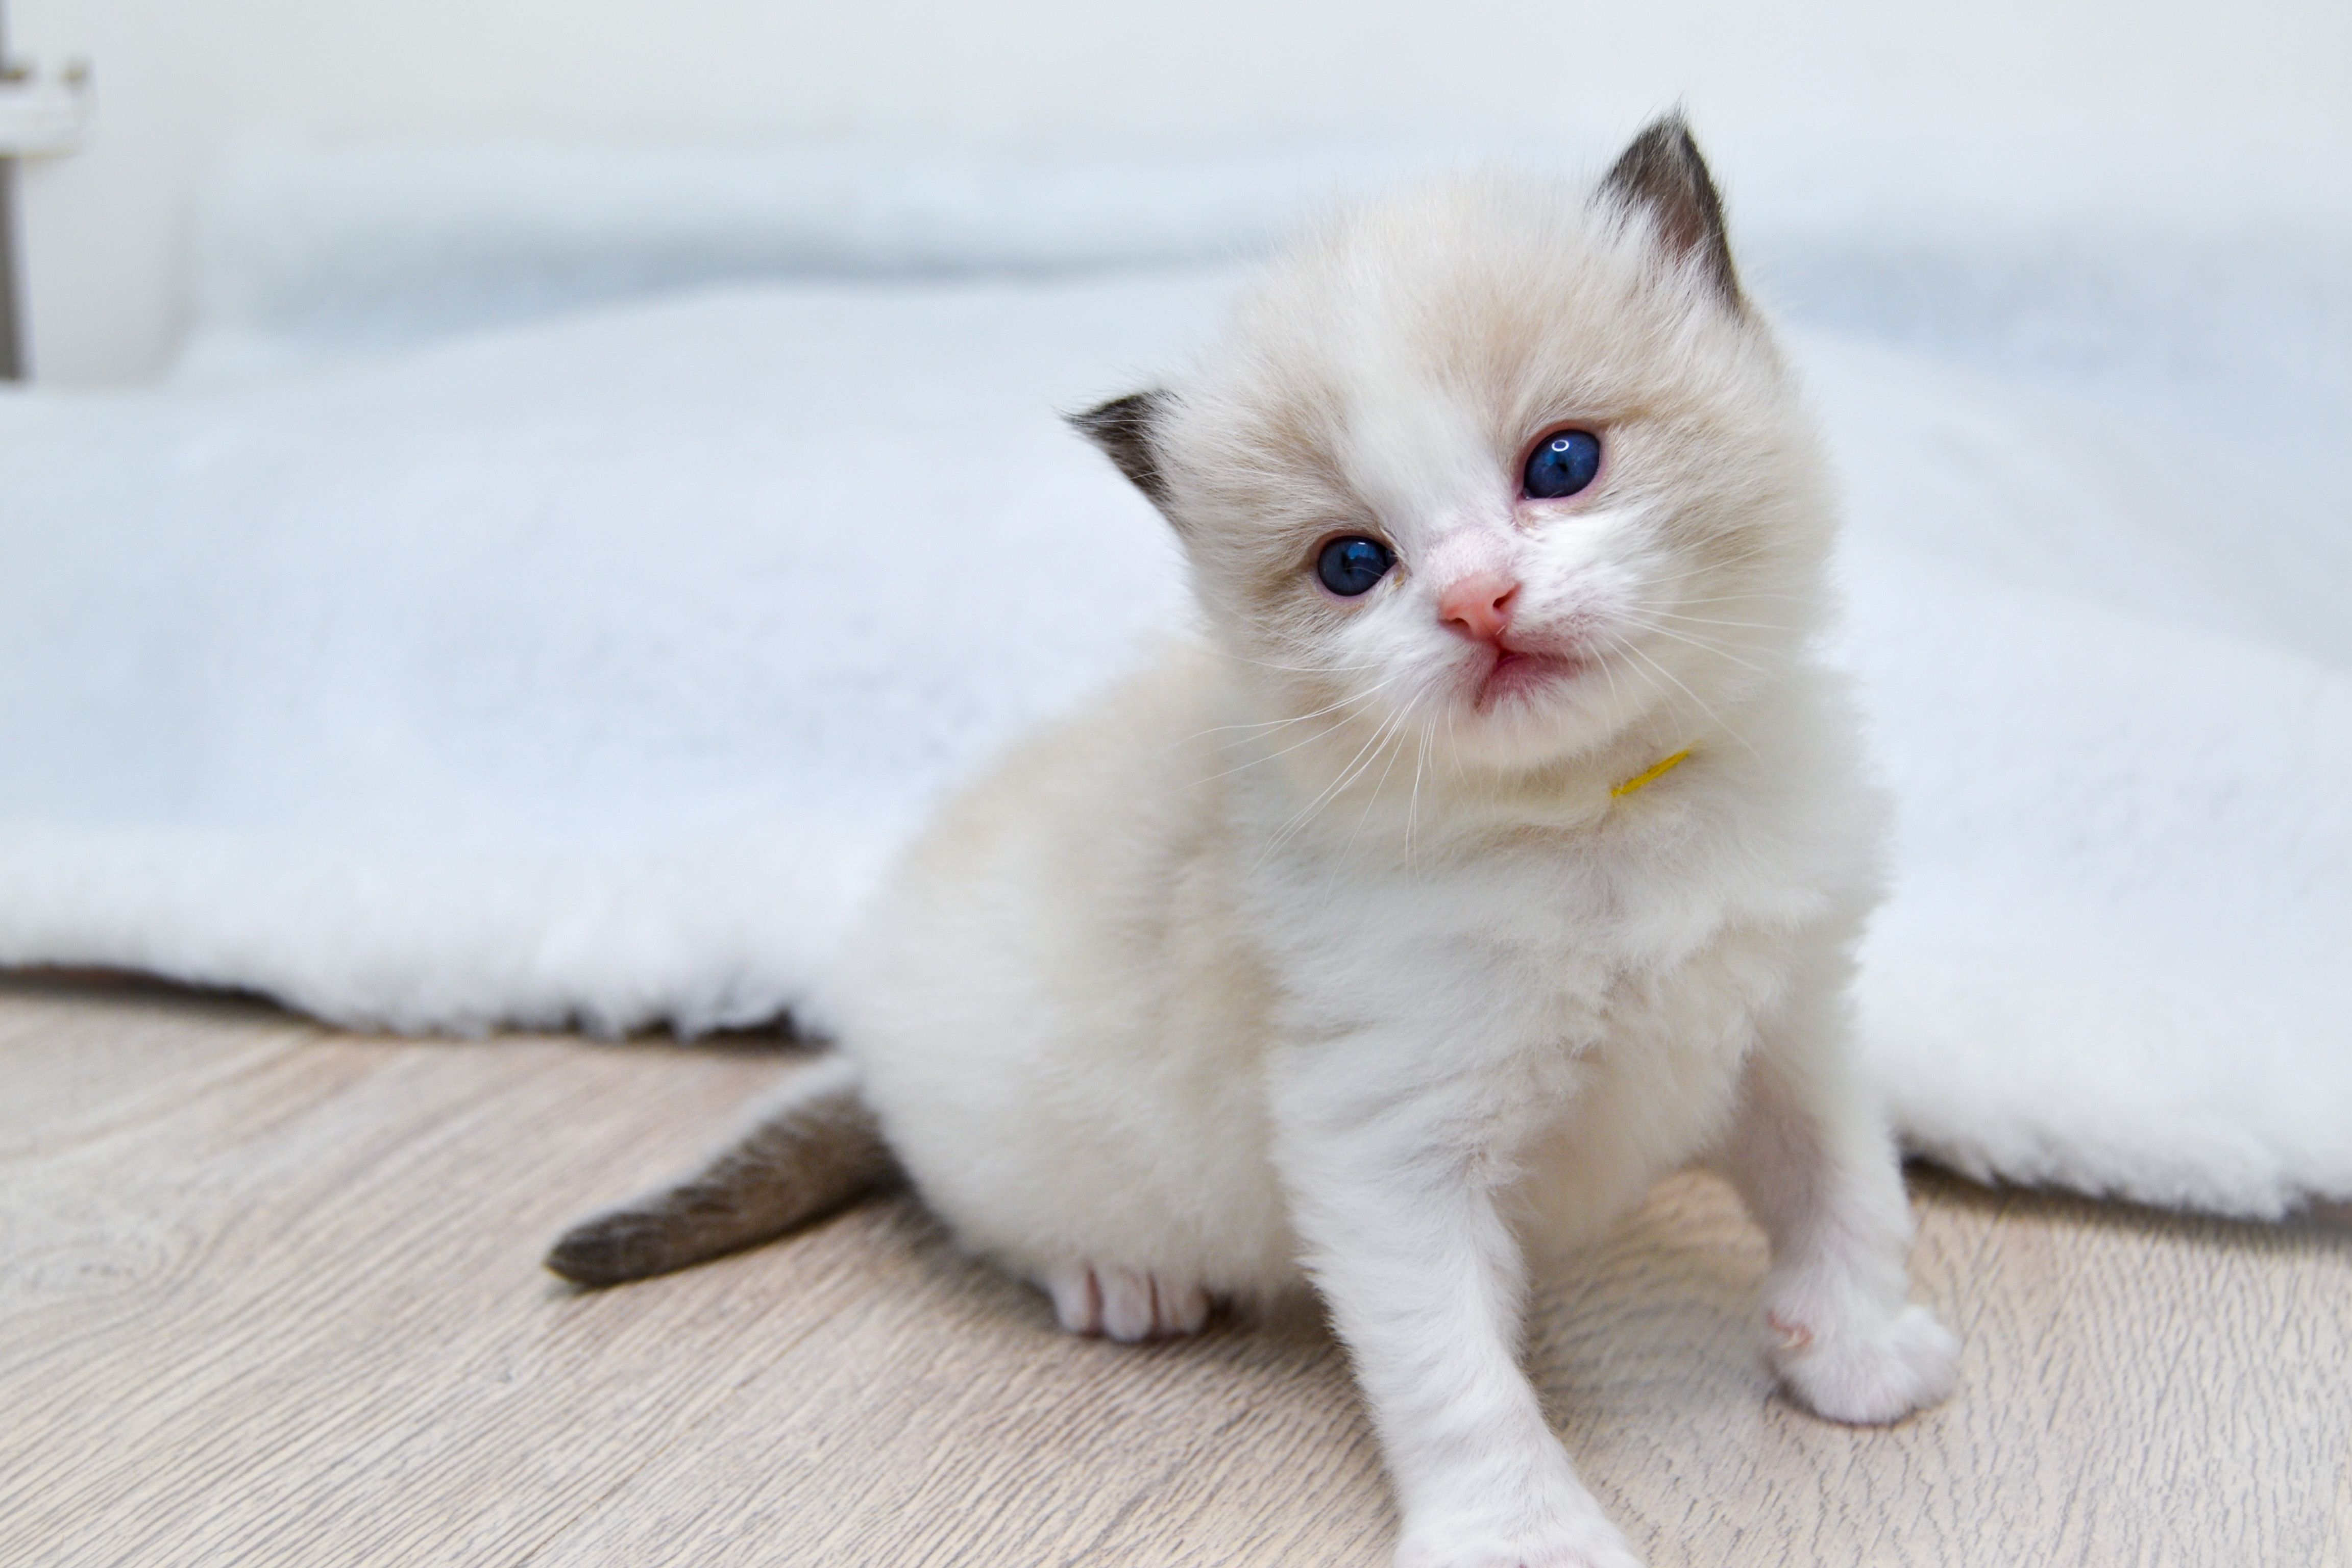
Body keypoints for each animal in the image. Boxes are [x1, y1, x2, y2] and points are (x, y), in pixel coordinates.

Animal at [546, 119, 1947, 1568]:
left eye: (1561, 465)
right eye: (1353, 564)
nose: (1476, 599)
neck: (1600, 812)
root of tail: (865, 1045)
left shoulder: (1789, 1016)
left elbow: (1848, 1183)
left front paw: (1851, 1346)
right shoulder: (1386, 1146)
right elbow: (1456, 1373)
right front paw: (1519, 1530)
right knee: (990, 1212)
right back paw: (1119, 1277)